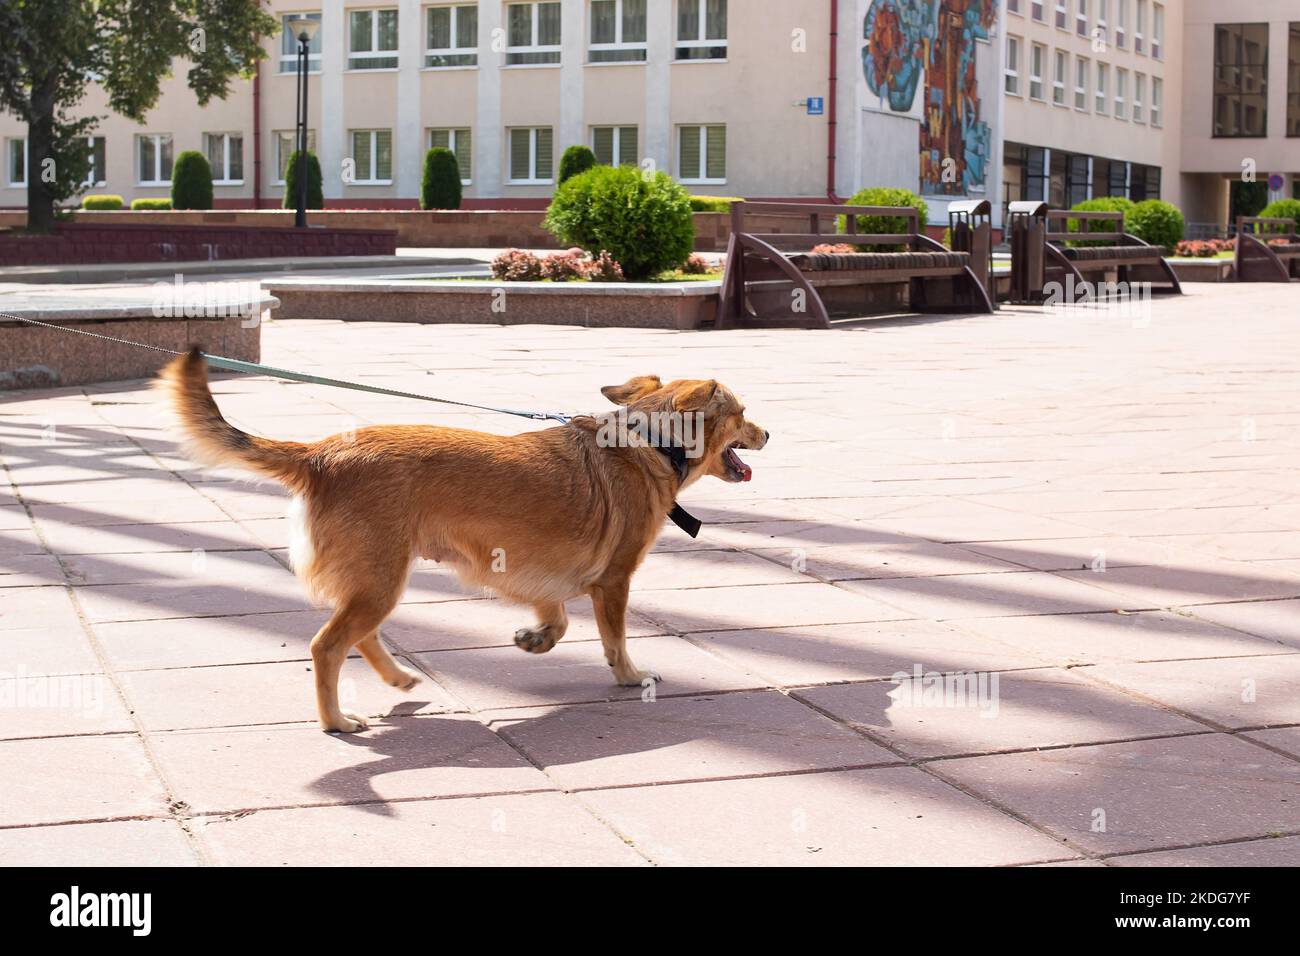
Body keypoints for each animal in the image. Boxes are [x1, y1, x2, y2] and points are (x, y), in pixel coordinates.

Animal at [162, 351, 769, 733]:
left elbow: (557, 617)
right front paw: (631, 677)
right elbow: (614, 640)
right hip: (380, 580)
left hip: (377, 578)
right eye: (742, 413)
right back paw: (335, 721)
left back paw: (398, 678)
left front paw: (537, 639)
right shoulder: (614, 581)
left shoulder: (537, 573)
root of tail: (322, 454)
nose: (768, 432)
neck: (648, 442)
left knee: (361, 635)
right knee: (328, 646)